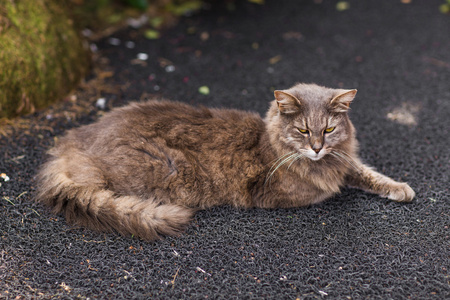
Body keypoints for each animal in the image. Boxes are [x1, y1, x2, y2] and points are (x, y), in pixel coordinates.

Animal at [35, 83, 414, 240]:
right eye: (304, 131)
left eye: (330, 129)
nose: (318, 148)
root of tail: (73, 141)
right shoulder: (277, 192)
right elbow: (328, 189)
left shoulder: (345, 160)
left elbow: (366, 172)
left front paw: (400, 188)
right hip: (167, 171)